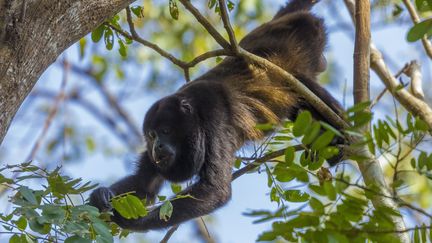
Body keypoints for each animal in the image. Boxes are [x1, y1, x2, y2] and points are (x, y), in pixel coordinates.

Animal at [88, 0, 344, 232]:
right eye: (151, 135)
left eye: (165, 131)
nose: (157, 146)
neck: (193, 110)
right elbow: (144, 185)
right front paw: (101, 196)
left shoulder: (214, 114)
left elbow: (215, 189)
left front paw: (130, 221)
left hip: (305, 38)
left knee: (307, 87)